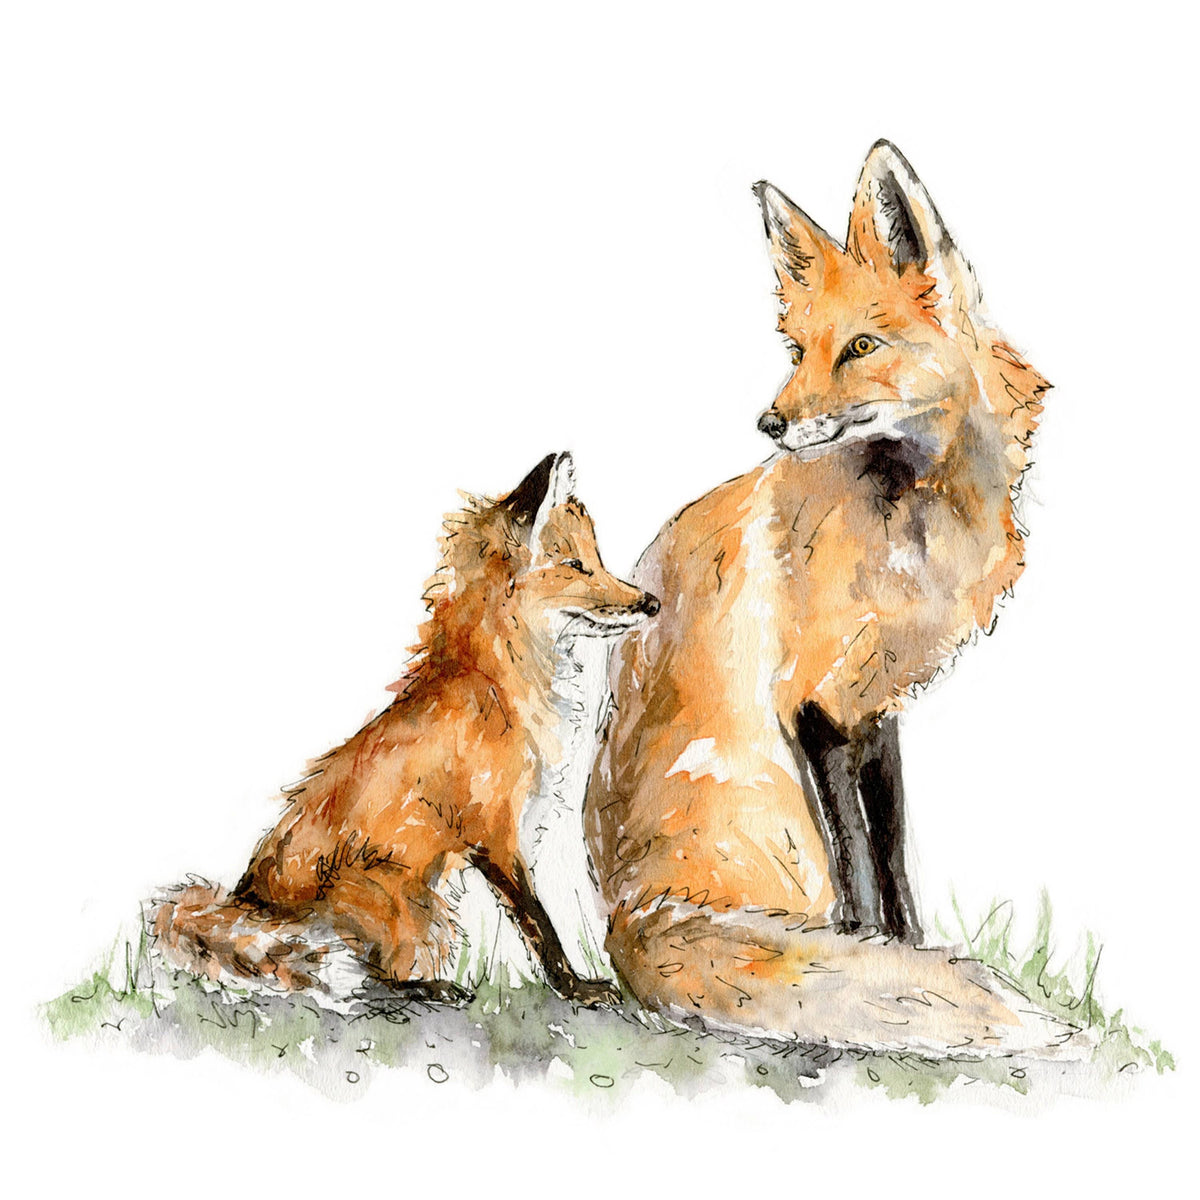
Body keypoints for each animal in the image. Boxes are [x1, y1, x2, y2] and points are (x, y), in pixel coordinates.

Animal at [154, 451, 659, 1008]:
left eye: (597, 561)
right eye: (575, 566)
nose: (652, 603)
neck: (495, 679)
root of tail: (251, 903)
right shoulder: (496, 834)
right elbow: (539, 925)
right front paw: (576, 987)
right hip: (408, 902)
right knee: (368, 975)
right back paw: (431, 987)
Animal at [584, 141, 1069, 1055]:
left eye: (861, 346)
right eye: (795, 350)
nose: (770, 424)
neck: (916, 527)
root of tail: (625, 922)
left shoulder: (871, 706)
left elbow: (894, 858)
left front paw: (908, 949)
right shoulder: (812, 705)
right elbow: (858, 880)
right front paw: (880, 959)